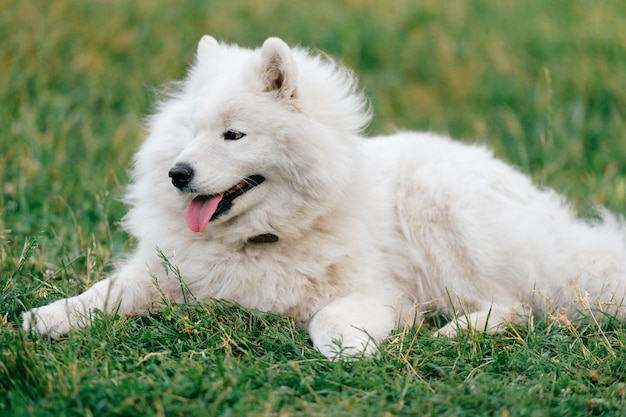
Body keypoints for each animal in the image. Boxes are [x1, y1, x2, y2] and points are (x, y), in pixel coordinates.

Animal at [23, 35, 624, 358]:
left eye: (233, 135)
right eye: (190, 133)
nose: (177, 173)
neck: (259, 239)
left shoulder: (378, 292)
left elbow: (329, 321)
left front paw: (352, 347)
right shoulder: (159, 272)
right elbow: (99, 295)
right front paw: (43, 319)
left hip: (442, 210)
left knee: (516, 305)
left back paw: (455, 331)